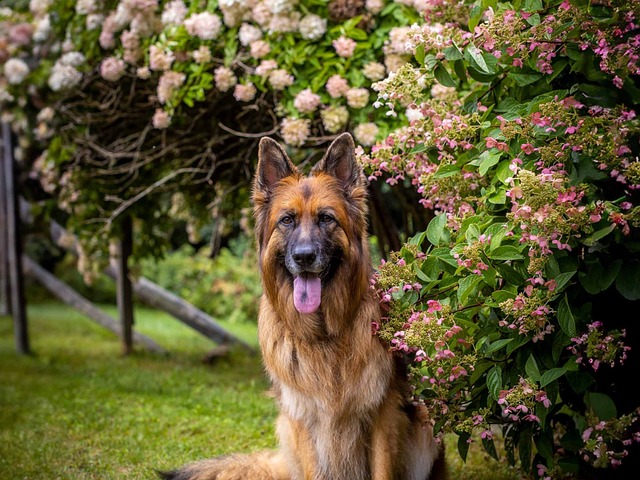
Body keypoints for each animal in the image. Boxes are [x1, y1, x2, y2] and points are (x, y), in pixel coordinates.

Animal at [160, 132, 448, 480]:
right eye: (287, 220)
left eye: (326, 218)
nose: (304, 257)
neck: (325, 334)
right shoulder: (303, 419)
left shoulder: (384, 413)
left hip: (425, 423)